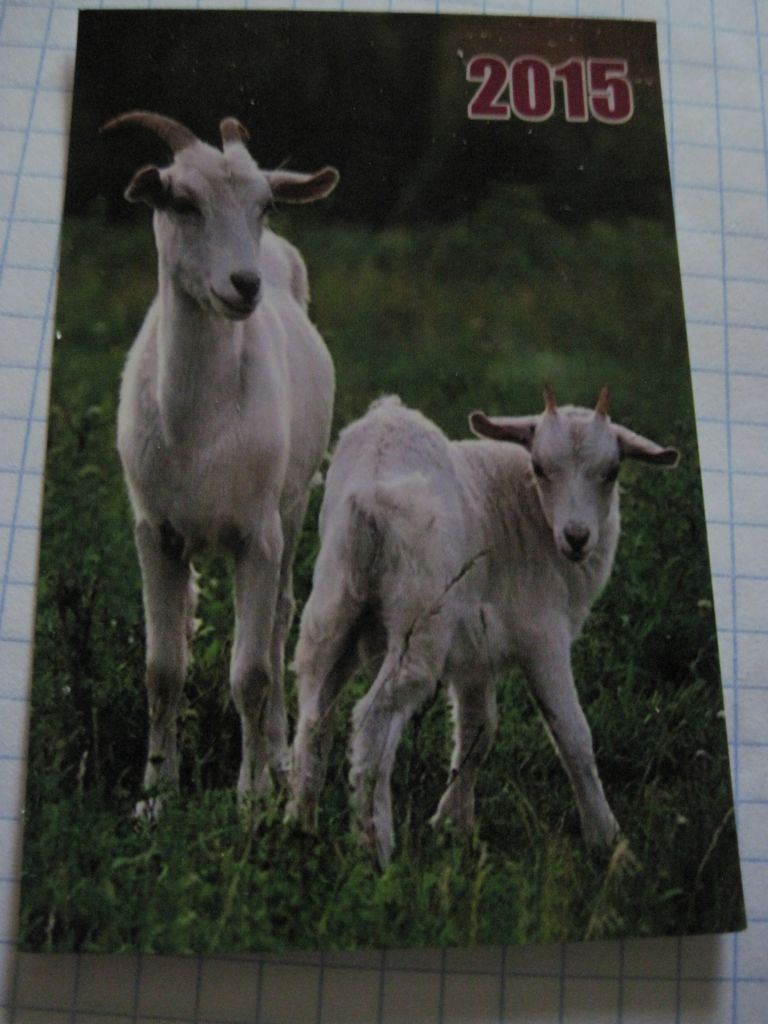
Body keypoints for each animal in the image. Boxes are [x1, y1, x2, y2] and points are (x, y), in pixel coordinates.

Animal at [104, 111, 339, 811]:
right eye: (181, 201)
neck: (199, 432)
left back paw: (281, 755)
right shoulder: (155, 533)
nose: (245, 285)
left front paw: (253, 793)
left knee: (280, 620)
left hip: (293, 509)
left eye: (264, 204)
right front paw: (156, 794)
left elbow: (252, 671)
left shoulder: (256, 534)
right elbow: (162, 668)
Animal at [288, 387, 678, 866]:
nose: (577, 537)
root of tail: (369, 498)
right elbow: (572, 733)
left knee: (313, 714)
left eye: (612, 471)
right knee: (374, 718)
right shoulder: (541, 634)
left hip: (334, 607)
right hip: (421, 620)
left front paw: (452, 824)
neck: (528, 514)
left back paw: (298, 823)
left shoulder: (475, 651)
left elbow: (478, 729)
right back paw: (376, 847)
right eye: (539, 467)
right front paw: (606, 839)